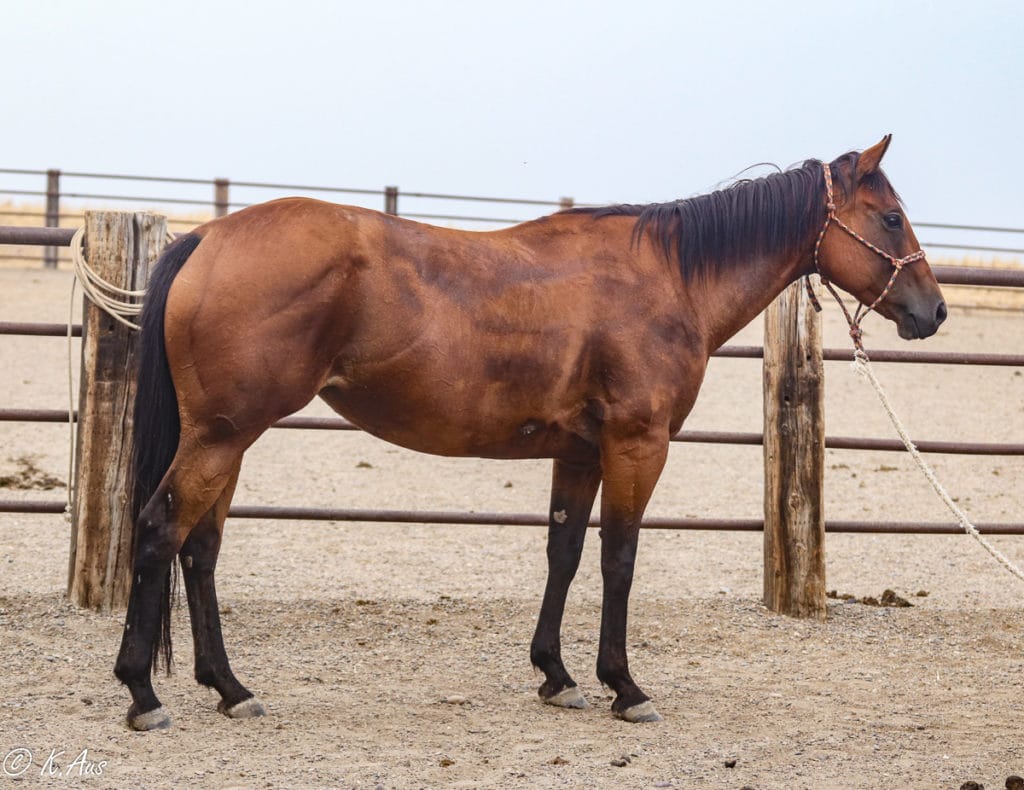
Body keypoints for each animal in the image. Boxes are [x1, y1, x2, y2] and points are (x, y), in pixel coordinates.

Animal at [114, 134, 942, 729]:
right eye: (891, 217)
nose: (932, 311)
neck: (669, 278)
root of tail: (208, 239)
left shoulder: (578, 452)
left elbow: (565, 553)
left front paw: (557, 674)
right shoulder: (637, 445)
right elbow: (618, 560)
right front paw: (624, 686)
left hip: (227, 440)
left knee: (200, 549)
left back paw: (228, 687)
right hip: (221, 437)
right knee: (159, 531)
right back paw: (143, 695)